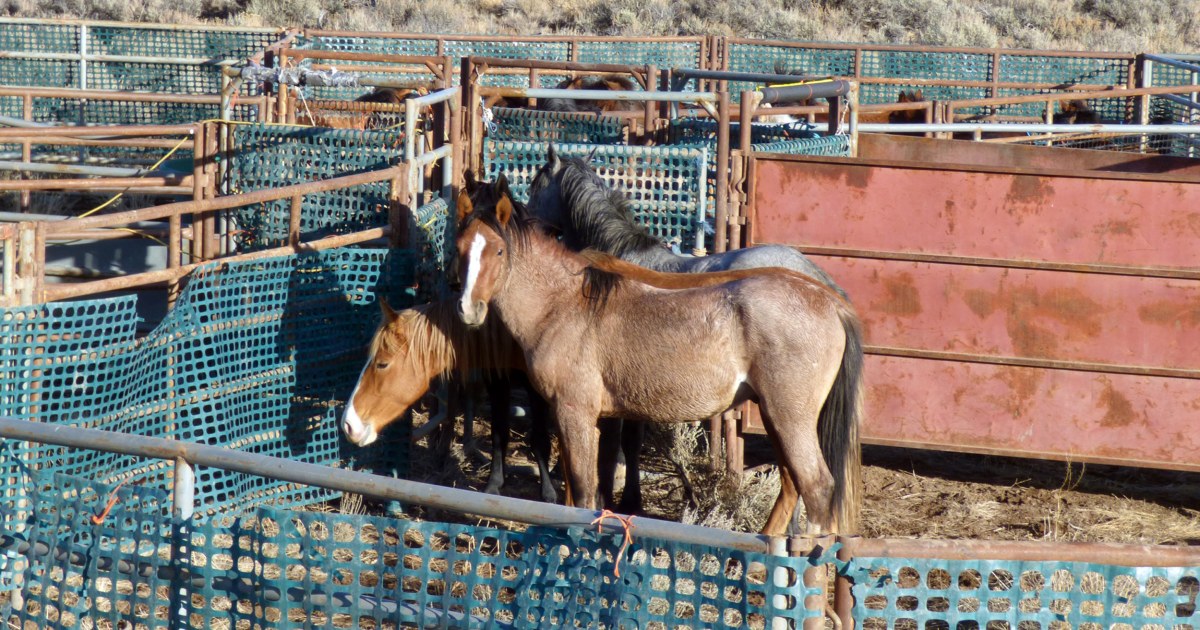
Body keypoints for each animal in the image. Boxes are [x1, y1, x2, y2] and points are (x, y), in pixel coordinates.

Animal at [341, 297, 645, 510]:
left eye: (382, 364)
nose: (348, 424)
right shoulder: (498, 379)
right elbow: (500, 433)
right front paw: (494, 485)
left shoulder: (546, 395)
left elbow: (542, 441)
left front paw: (551, 495)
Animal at [455, 176, 863, 535]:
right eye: (459, 247)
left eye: (499, 250)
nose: (468, 310)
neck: (565, 303)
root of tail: (829, 300)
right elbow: (577, 491)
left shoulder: (576, 413)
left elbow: (585, 493)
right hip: (775, 415)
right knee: (793, 483)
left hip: (789, 417)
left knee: (817, 487)